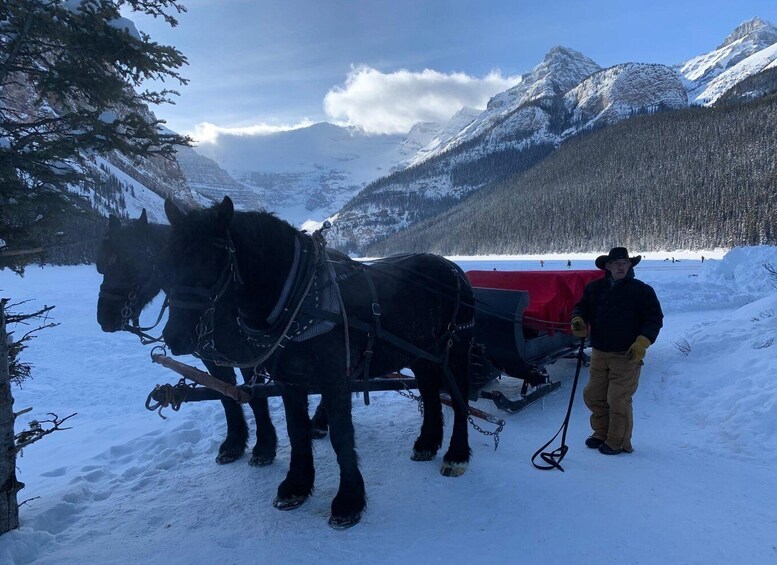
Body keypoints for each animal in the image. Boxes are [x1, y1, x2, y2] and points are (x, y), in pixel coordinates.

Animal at [95, 209, 280, 464]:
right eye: (102, 266)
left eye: (130, 264)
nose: (105, 317)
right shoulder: (213, 360)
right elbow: (226, 395)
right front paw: (233, 444)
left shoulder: (248, 357)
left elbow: (255, 396)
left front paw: (264, 447)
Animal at [162, 196, 472, 528]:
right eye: (168, 262)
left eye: (211, 260)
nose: (175, 337)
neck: (297, 299)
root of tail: (452, 267)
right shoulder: (289, 380)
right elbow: (296, 430)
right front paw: (296, 485)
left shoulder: (335, 378)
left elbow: (341, 435)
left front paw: (348, 500)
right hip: (421, 356)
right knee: (430, 395)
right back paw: (427, 443)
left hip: (456, 353)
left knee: (460, 401)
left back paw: (457, 454)